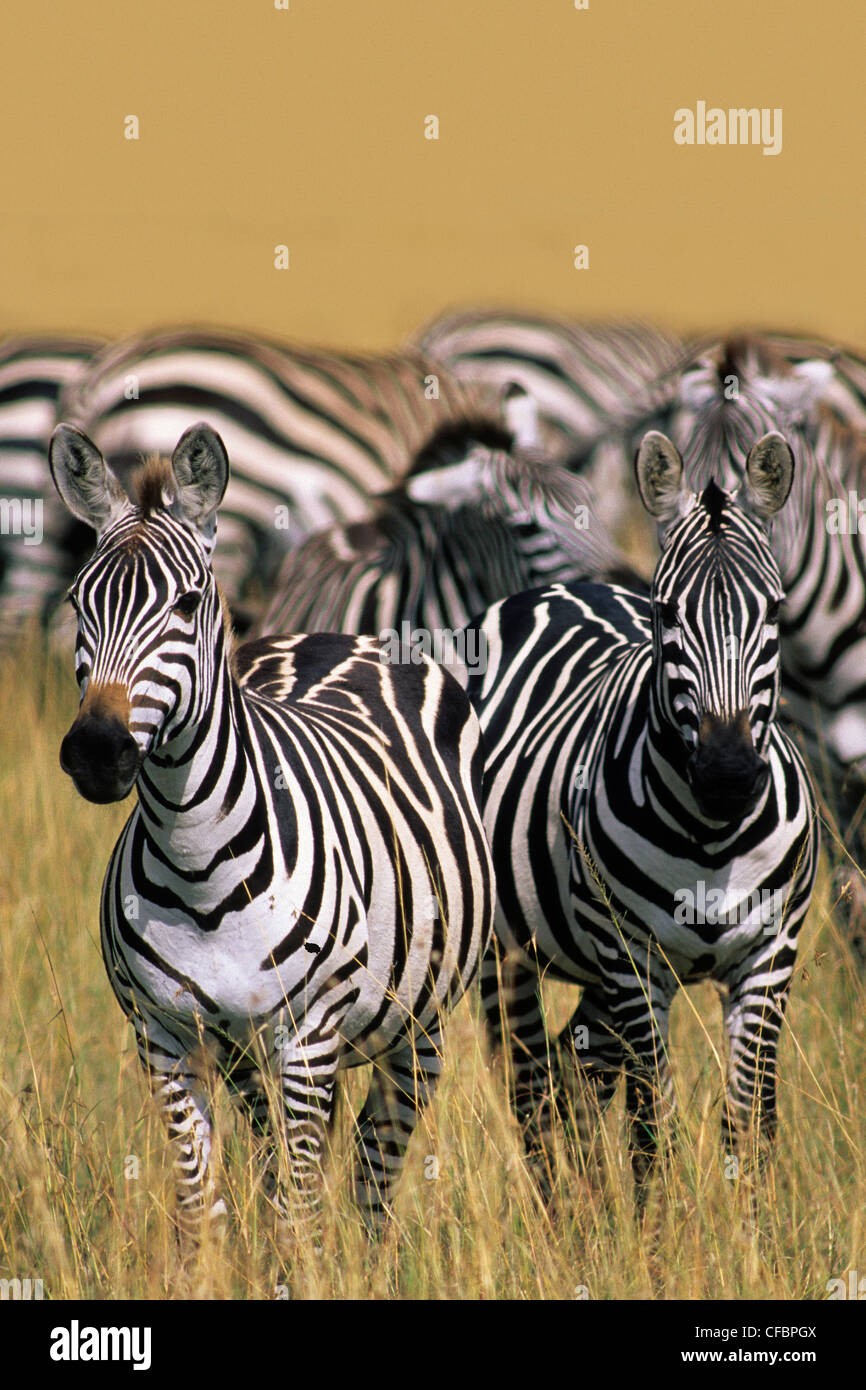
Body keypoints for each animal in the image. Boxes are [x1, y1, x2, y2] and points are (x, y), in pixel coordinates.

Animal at [48, 419, 494, 1239]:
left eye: (188, 602)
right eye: (77, 600)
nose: (97, 750)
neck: (199, 866)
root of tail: (335, 635)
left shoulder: (309, 1035)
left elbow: (303, 1214)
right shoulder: (164, 1037)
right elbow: (205, 1208)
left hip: (418, 1031)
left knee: (374, 1175)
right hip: (247, 1059)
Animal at [464, 428, 817, 1200]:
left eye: (776, 613)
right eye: (666, 613)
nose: (727, 776)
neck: (715, 841)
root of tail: (562, 585)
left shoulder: (769, 958)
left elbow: (750, 1122)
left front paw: (751, 1233)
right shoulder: (635, 964)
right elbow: (653, 1130)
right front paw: (664, 1236)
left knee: (574, 1072)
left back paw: (592, 1209)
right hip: (511, 952)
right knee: (531, 1086)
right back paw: (565, 1217)